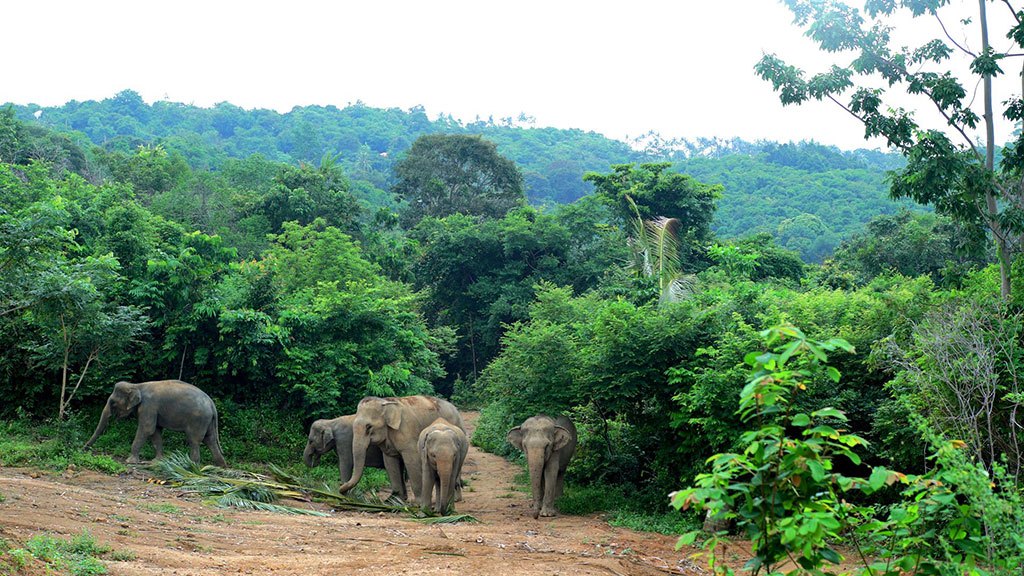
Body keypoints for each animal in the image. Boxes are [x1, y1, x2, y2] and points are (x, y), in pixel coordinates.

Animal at [84, 380, 226, 466]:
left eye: (113, 402)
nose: (84, 449)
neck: (137, 385)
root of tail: (212, 404)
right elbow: (155, 432)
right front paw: (156, 461)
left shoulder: (149, 406)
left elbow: (147, 429)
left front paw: (130, 461)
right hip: (208, 420)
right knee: (210, 440)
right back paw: (220, 466)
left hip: (198, 419)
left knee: (194, 440)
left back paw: (191, 465)